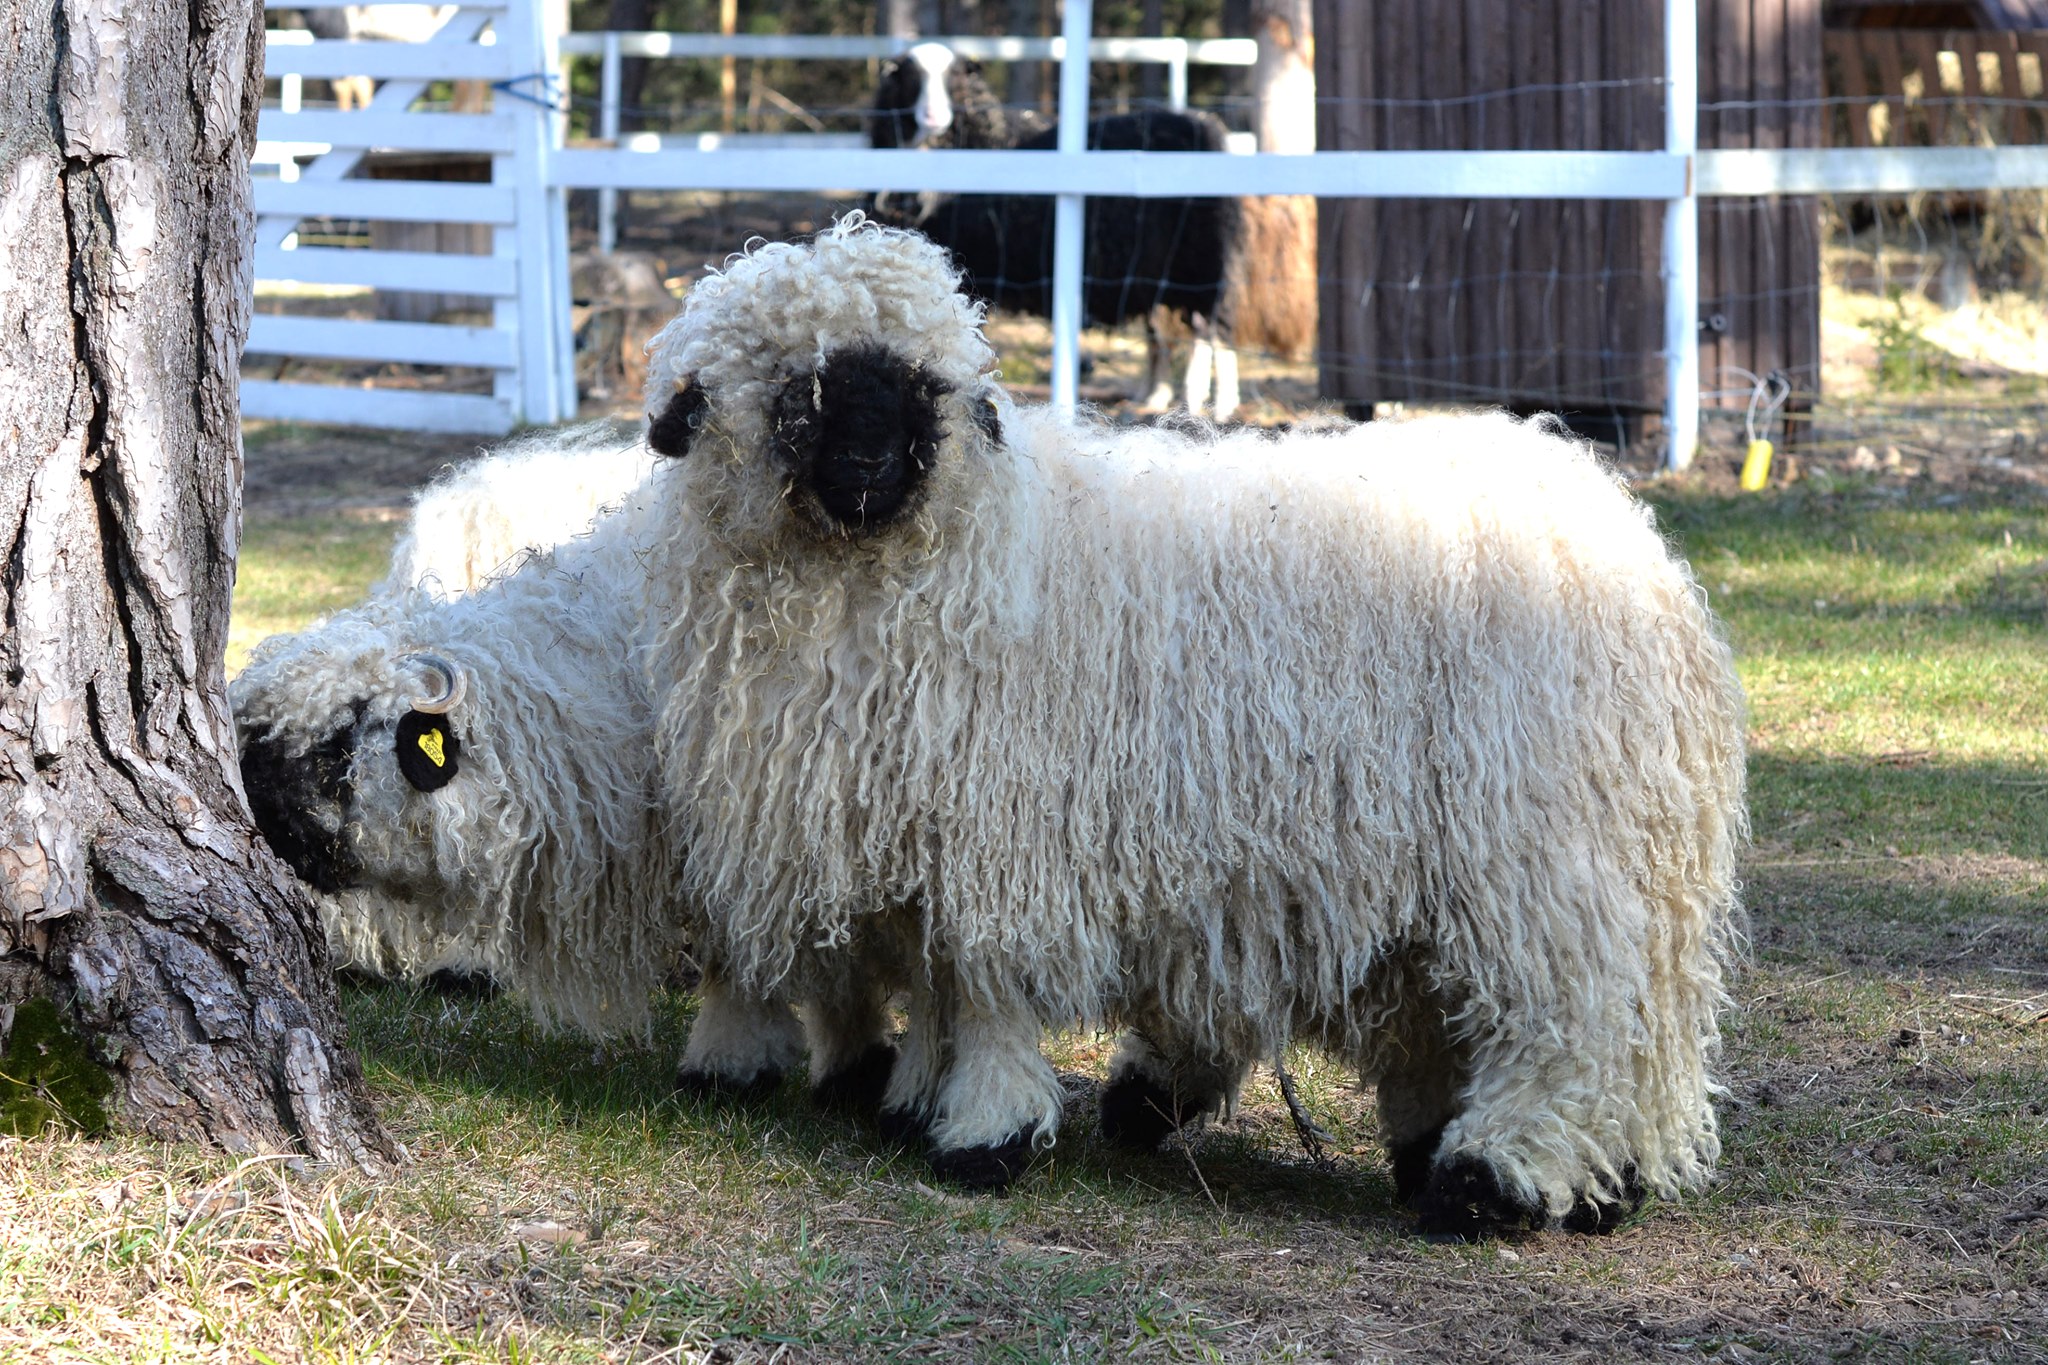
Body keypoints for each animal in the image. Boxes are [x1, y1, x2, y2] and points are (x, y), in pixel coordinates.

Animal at [638, 218, 1748, 1232]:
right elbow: (931, 988)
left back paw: (1498, 1176)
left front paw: (984, 1133)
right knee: (1468, 1017)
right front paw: (917, 1101)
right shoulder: (910, 844)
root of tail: (1621, 533)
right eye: (800, 389)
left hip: (1537, 852)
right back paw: (1499, 1160)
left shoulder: (1002, 841)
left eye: (922, 387)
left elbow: (985, 995)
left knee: (1572, 1020)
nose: (873, 461)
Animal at [867, 42, 1307, 420]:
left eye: (954, 79)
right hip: (1160, 272)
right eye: (909, 77)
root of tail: (1208, 128)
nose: (933, 117)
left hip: (1201, 262)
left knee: (1213, 332)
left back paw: (1212, 403)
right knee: (1166, 335)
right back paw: (1157, 396)